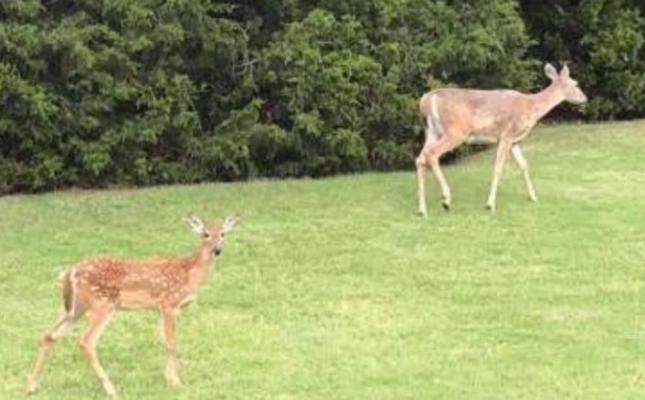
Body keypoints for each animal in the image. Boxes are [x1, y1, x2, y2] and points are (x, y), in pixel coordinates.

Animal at [27, 214, 241, 397]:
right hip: (103, 304)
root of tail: (70, 272)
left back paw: (32, 386)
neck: (190, 273)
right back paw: (111, 389)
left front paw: (168, 379)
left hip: (73, 308)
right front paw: (176, 383)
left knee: (49, 335)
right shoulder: (169, 303)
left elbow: (164, 341)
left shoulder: (159, 308)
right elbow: (172, 343)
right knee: (86, 341)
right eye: (205, 234)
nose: (218, 250)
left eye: (223, 233)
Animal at [415, 63, 588, 216]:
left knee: (420, 158)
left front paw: (533, 197)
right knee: (432, 154)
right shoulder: (506, 135)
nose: (584, 98)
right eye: (575, 83)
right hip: (456, 131)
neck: (531, 107)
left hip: (431, 131)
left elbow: (524, 165)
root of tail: (427, 100)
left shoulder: (515, 141)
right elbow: (498, 168)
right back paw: (446, 199)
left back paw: (422, 210)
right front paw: (490, 205)